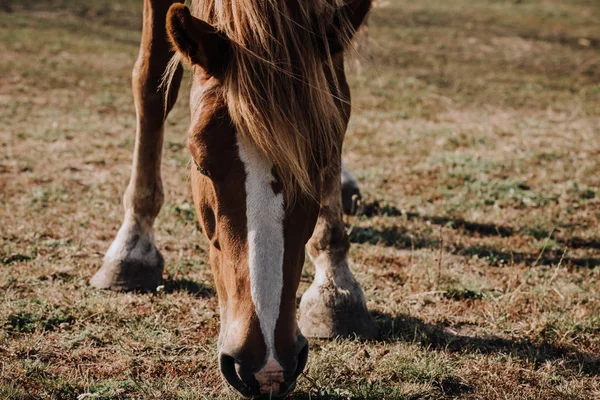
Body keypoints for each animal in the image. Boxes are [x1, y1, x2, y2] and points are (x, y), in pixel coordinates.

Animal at [89, 0, 376, 396]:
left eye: (319, 163)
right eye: (199, 162)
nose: (268, 366)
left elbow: (337, 97)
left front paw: (334, 285)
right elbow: (152, 83)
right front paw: (131, 248)